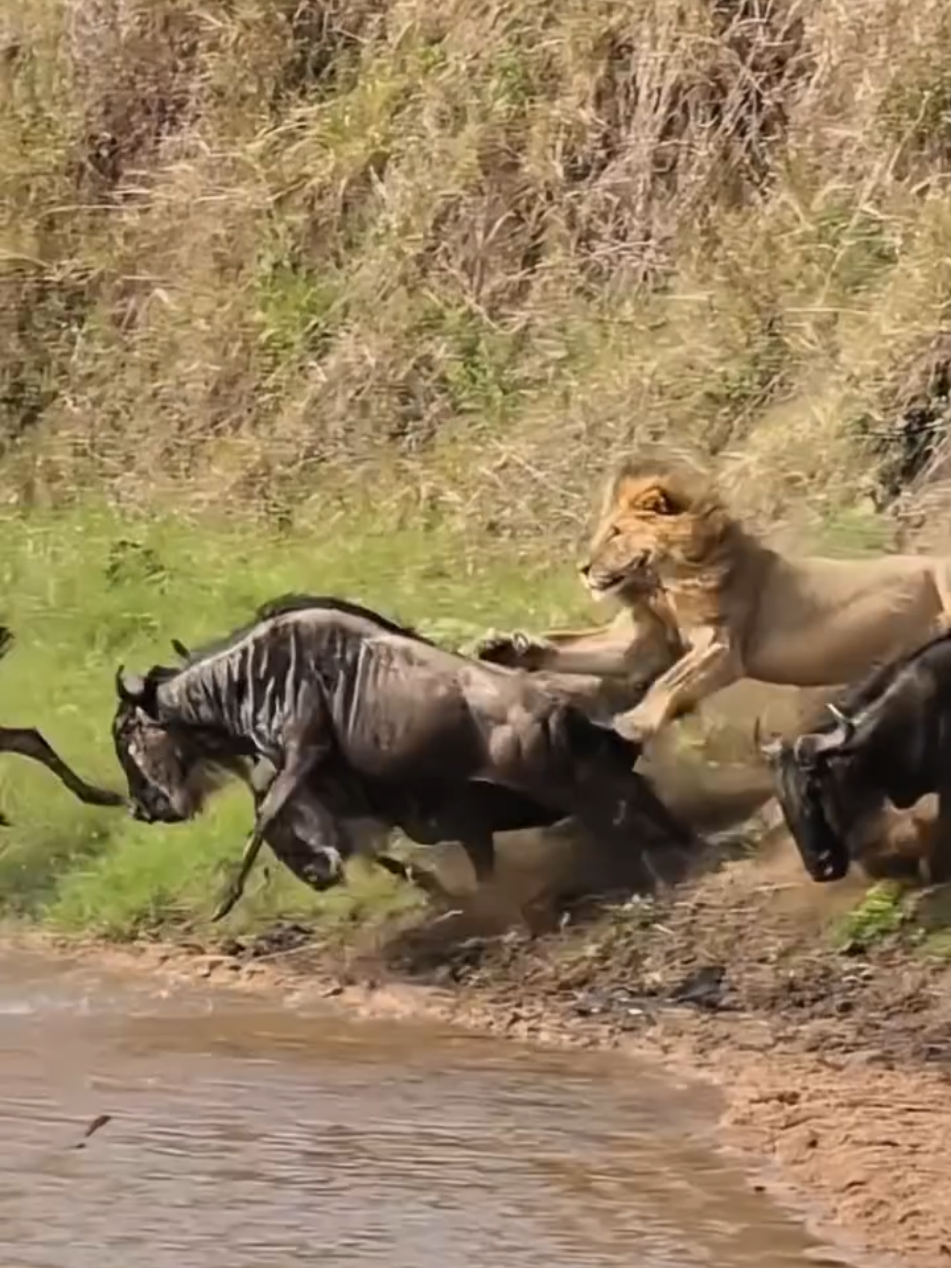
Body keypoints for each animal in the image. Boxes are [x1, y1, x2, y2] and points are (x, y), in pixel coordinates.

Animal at [475, 453, 951, 746]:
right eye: (604, 532)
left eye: (615, 533)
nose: (583, 569)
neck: (660, 585)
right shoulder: (641, 643)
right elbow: (570, 644)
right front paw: (503, 647)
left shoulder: (721, 645)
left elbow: (669, 681)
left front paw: (634, 723)